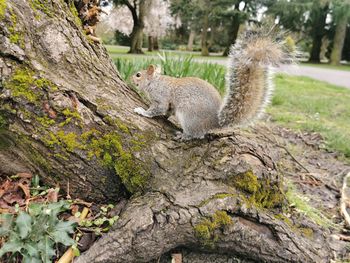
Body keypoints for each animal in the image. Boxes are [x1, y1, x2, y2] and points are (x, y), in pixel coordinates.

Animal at [131, 27, 288, 140]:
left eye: (138, 75)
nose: (131, 78)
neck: (154, 82)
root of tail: (215, 122)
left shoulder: (161, 97)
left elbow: (157, 109)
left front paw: (142, 111)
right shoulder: (169, 103)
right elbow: (167, 110)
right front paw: (164, 116)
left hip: (189, 116)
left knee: (195, 134)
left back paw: (183, 135)